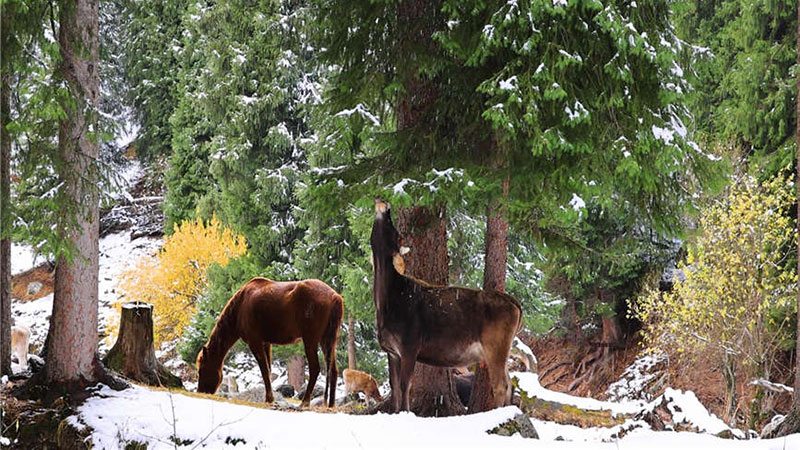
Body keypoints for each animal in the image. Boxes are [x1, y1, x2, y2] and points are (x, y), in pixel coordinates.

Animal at [198, 278, 344, 408]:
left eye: (201, 369)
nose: (200, 391)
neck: (237, 312)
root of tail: (336, 297)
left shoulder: (254, 341)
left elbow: (264, 371)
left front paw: (269, 398)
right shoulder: (266, 342)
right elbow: (268, 369)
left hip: (311, 338)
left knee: (315, 368)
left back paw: (305, 402)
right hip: (328, 339)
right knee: (334, 370)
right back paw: (331, 404)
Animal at [370, 199, 520, 414]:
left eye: (394, 229)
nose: (384, 203)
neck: (385, 304)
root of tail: (515, 304)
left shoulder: (410, 345)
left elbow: (406, 384)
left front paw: (406, 412)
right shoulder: (391, 350)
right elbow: (394, 386)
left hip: (496, 345)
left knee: (501, 385)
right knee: (509, 383)